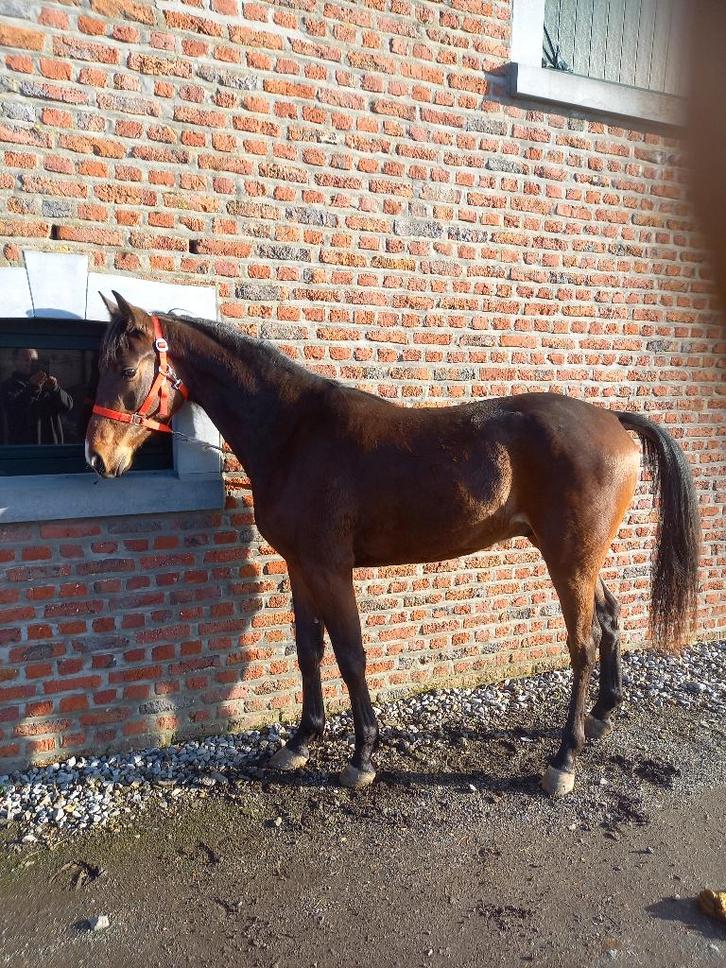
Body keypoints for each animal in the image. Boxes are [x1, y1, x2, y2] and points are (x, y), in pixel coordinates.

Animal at [85, 293, 700, 795]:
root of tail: (612, 420)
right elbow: (309, 650)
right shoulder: (301, 566)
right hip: (580, 557)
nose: (96, 457)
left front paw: (362, 756)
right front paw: (300, 742)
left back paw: (563, 759)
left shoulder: (331, 568)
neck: (294, 433)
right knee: (610, 618)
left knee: (582, 644)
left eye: (126, 366)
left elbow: (351, 654)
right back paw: (601, 716)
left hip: (568, 560)